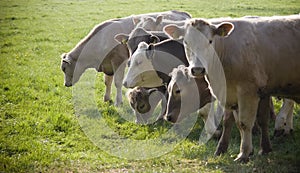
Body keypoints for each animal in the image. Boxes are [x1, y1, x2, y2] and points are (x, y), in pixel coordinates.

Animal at [60, 10, 191, 107]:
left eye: (64, 69)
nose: (66, 84)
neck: (101, 39)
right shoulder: (107, 65)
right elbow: (107, 82)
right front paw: (106, 98)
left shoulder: (118, 62)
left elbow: (118, 82)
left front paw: (118, 102)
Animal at [164, 15, 300, 162]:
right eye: (186, 42)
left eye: (210, 41)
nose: (198, 69)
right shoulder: (230, 93)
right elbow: (232, 122)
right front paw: (227, 149)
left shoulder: (248, 92)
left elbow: (245, 122)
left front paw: (244, 153)